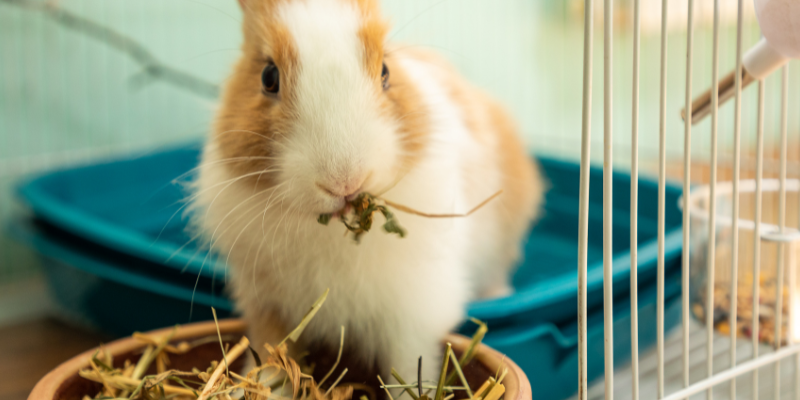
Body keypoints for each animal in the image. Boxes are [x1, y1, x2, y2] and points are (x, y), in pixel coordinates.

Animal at [190, 0, 544, 386]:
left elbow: (409, 366)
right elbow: (272, 356)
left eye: (385, 70)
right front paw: (258, 385)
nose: (345, 181)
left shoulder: (412, 313)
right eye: (269, 78)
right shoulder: (268, 307)